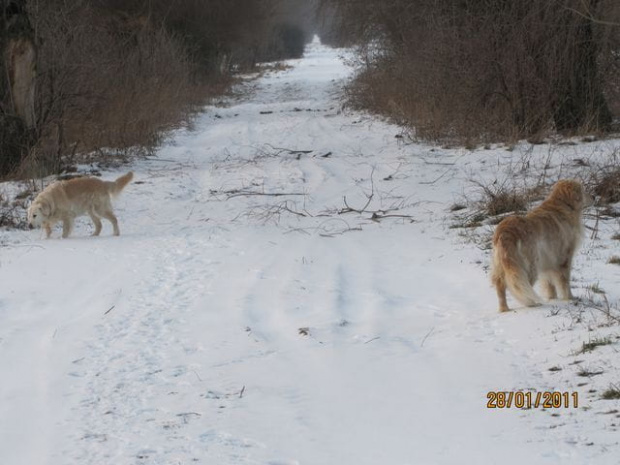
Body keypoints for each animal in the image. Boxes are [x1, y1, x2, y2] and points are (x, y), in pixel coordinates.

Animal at [492, 179, 592, 312]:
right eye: (583, 189)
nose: (594, 196)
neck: (563, 204)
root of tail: (505, 232)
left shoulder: (548, 260)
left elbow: (549, 283)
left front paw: (552, 297)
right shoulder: (565, 257)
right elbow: (565, 281)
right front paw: (570, 298)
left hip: (501, 264)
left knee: (501, 286)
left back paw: (504, 309)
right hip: (529, 266)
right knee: (522, 287)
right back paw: (531, 304)